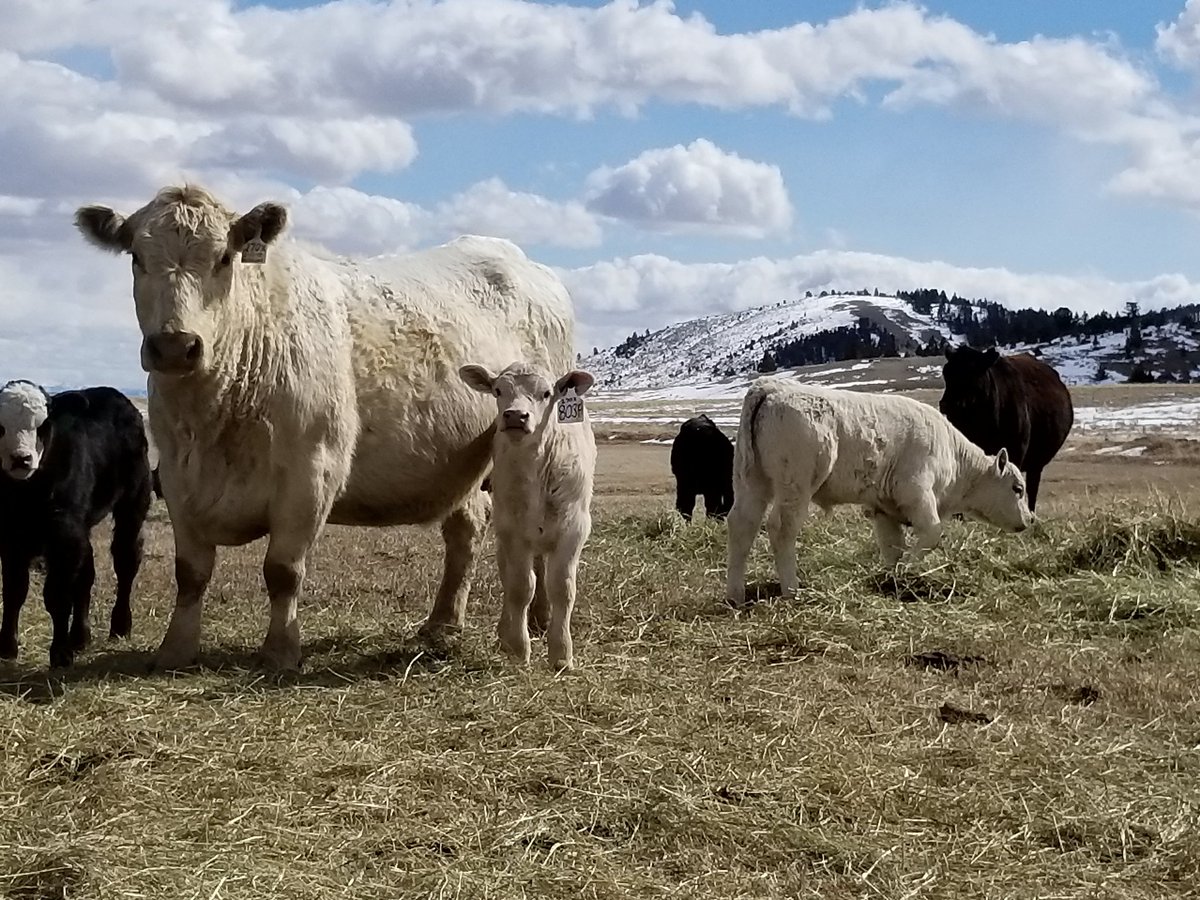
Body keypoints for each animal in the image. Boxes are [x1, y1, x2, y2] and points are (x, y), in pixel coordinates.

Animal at [0, 381, 152, 668]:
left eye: (44, 424)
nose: (20, 459)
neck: (27, 496)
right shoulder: (12, 535)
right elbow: (14, 591)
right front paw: (7, 648)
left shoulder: (64, 534)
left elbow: (57, 595)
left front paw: (60, 654)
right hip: (82, 526)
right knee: (86, 575)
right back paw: (81, 636)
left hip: (134, 500)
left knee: (126, 559)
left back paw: (120, 626)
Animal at [74, 183, 574, 671]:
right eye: (137, 258)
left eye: (223, 258)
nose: (176, 346)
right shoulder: (178, 477)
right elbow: (190, 573)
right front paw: (175, 650)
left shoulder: (311, 472)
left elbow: (282, 570)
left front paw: (280, 652)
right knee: (466, 528)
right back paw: (443, 623)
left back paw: (538, 619)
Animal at [459, 361, 596, 670]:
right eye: (498, 391)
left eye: (546, 393)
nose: (515, 416)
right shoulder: (512, 532)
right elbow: (521, 587)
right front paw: (519, 649)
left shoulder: (574, 529)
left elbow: (562, 588)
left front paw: (561, 654)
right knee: (508, 578)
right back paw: (505, 634)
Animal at [725, 378, 1033, 605]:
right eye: (1018, 488)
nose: (1029, 520)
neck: (954, 456)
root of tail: (772, 386)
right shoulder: (917, 493)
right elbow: (931, 533)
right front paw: (910, 570)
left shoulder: (884, 509)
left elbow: (892, 548)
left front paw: (892, 579)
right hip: (796, 485)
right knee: (781, 528)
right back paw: (792, 591)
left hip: (751, 482)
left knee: (742, 525)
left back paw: (735, 596)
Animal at [938, 346, 1074, 513]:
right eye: (946, 372)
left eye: (972, 372)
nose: (946, 403)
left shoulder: (1015, 451)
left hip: (1036, 464)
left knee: (1032, 489)